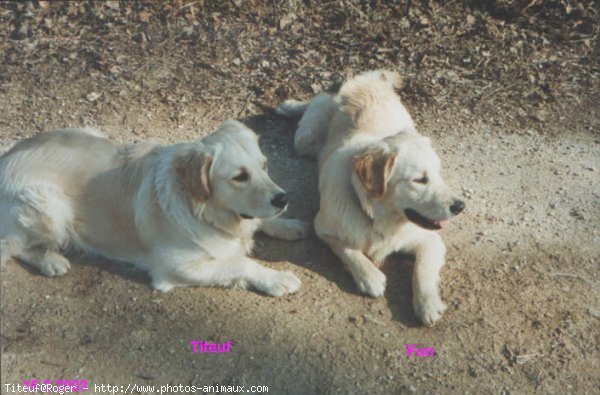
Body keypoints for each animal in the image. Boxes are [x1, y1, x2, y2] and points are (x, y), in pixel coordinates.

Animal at [0, 120, 308, 296]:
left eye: (264, 166)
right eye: (239, 176)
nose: (283, 199)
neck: (202, 210)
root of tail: (7, 156)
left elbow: (261, 221)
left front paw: (287, 224)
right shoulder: (175, 266)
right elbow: (241, 262)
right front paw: (277, 278)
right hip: (48, 205)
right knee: (10, 245)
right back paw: (50, 260)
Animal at [276, 70, 464, 324]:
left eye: (438, 173)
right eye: (420, 180)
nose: (460, 206)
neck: (380, 218)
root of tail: (371, 80)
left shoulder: (430, 240)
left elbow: (422, 270)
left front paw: (427, 304)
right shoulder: (322, 227)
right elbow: (348, 249)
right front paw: (369, 276)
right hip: (304, 140)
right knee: (318, 99)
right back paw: (290, 106)